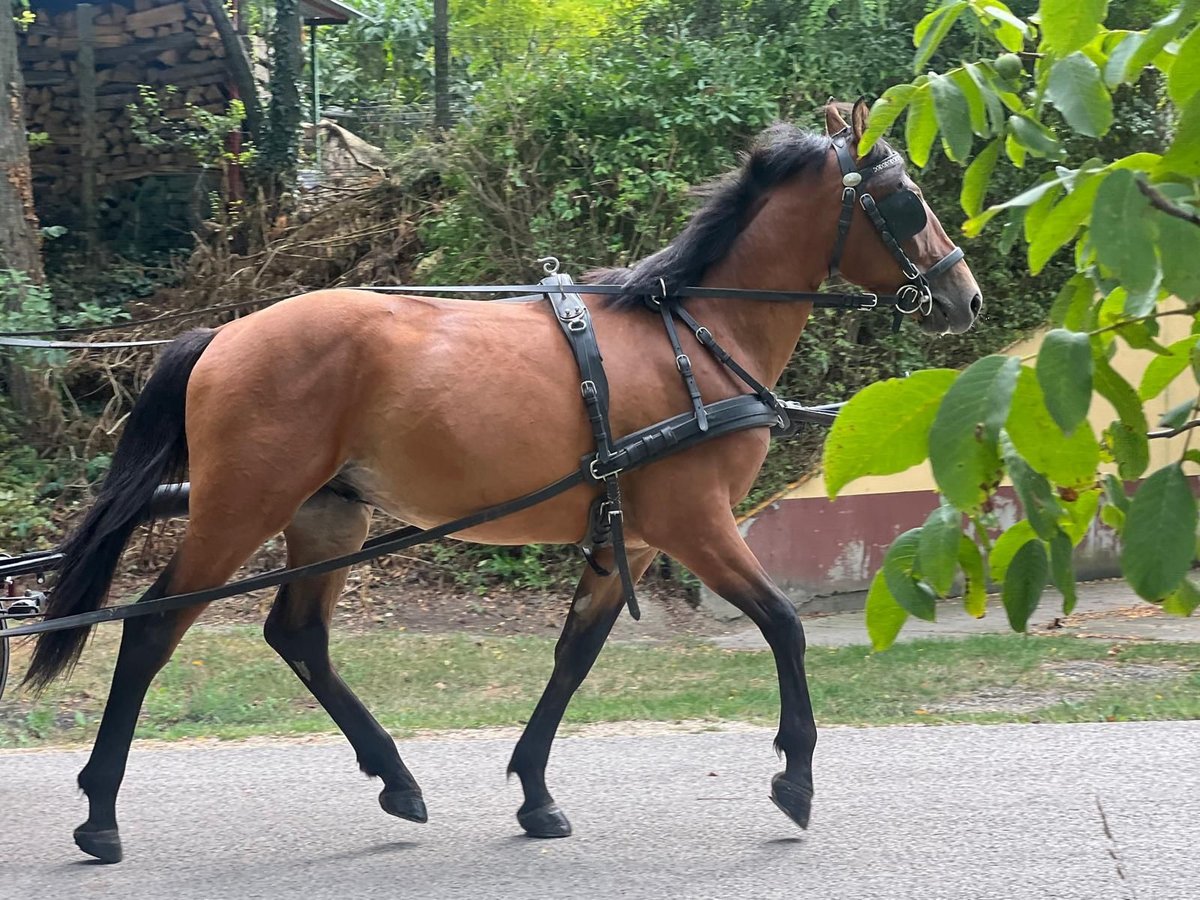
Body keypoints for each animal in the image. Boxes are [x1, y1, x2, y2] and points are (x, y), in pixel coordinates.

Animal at [28, 97, 979, 859]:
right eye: (910, 202)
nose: (965, 297)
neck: (695, 333)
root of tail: (221, 336)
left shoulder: (629, 536)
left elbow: (574, 656)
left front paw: (535, 793)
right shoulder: (694, 523)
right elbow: (783, 625)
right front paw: (795, 782)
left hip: (329, 518)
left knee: (297, 637)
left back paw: (397, 780)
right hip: (239, 509)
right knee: (153, 627)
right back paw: (100, 814)